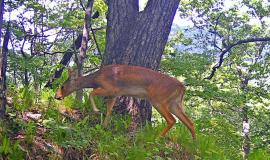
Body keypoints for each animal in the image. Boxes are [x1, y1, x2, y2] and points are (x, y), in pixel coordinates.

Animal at [55, 64, 196, 139]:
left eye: (62, 86)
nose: (56, 96)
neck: (95, 79)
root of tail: (182, 87)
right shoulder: (114, 94)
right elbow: (109, 110)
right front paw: (104, 126)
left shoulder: (109, 88)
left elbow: (91, 93)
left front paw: (96, 110)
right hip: (175, 103)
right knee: (190, 122)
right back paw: (194, 143)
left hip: (158, 99)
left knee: (172, 120)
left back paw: (157, 138)